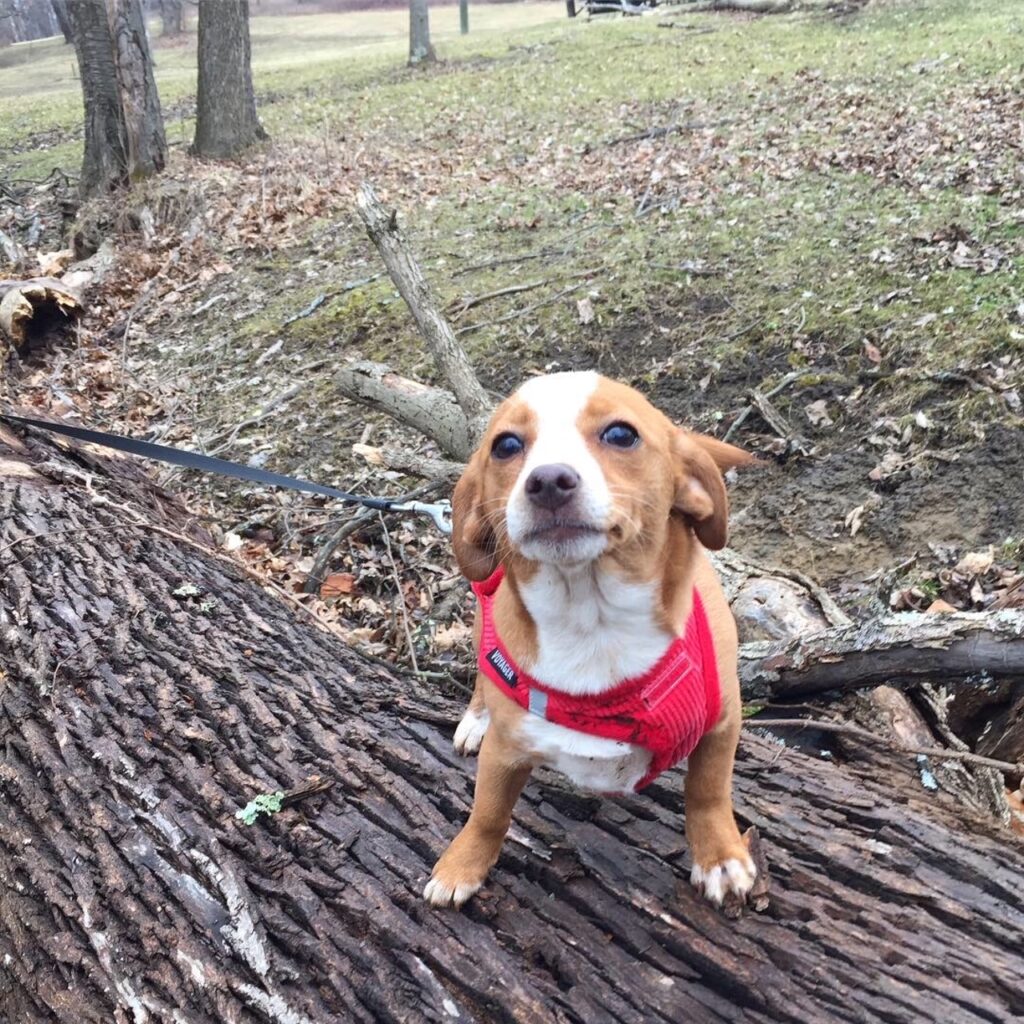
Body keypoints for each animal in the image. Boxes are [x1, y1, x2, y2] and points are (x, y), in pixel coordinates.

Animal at [421, 372, 753, 909]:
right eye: (506, 445)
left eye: (620, 434)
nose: (548, 481)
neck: (592, 622)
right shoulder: (504, 752)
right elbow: (488, 813)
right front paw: (461, 866)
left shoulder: (722, 724)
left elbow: (708, 792)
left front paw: (720, 857)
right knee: (482, 672)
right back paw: (475, 717)